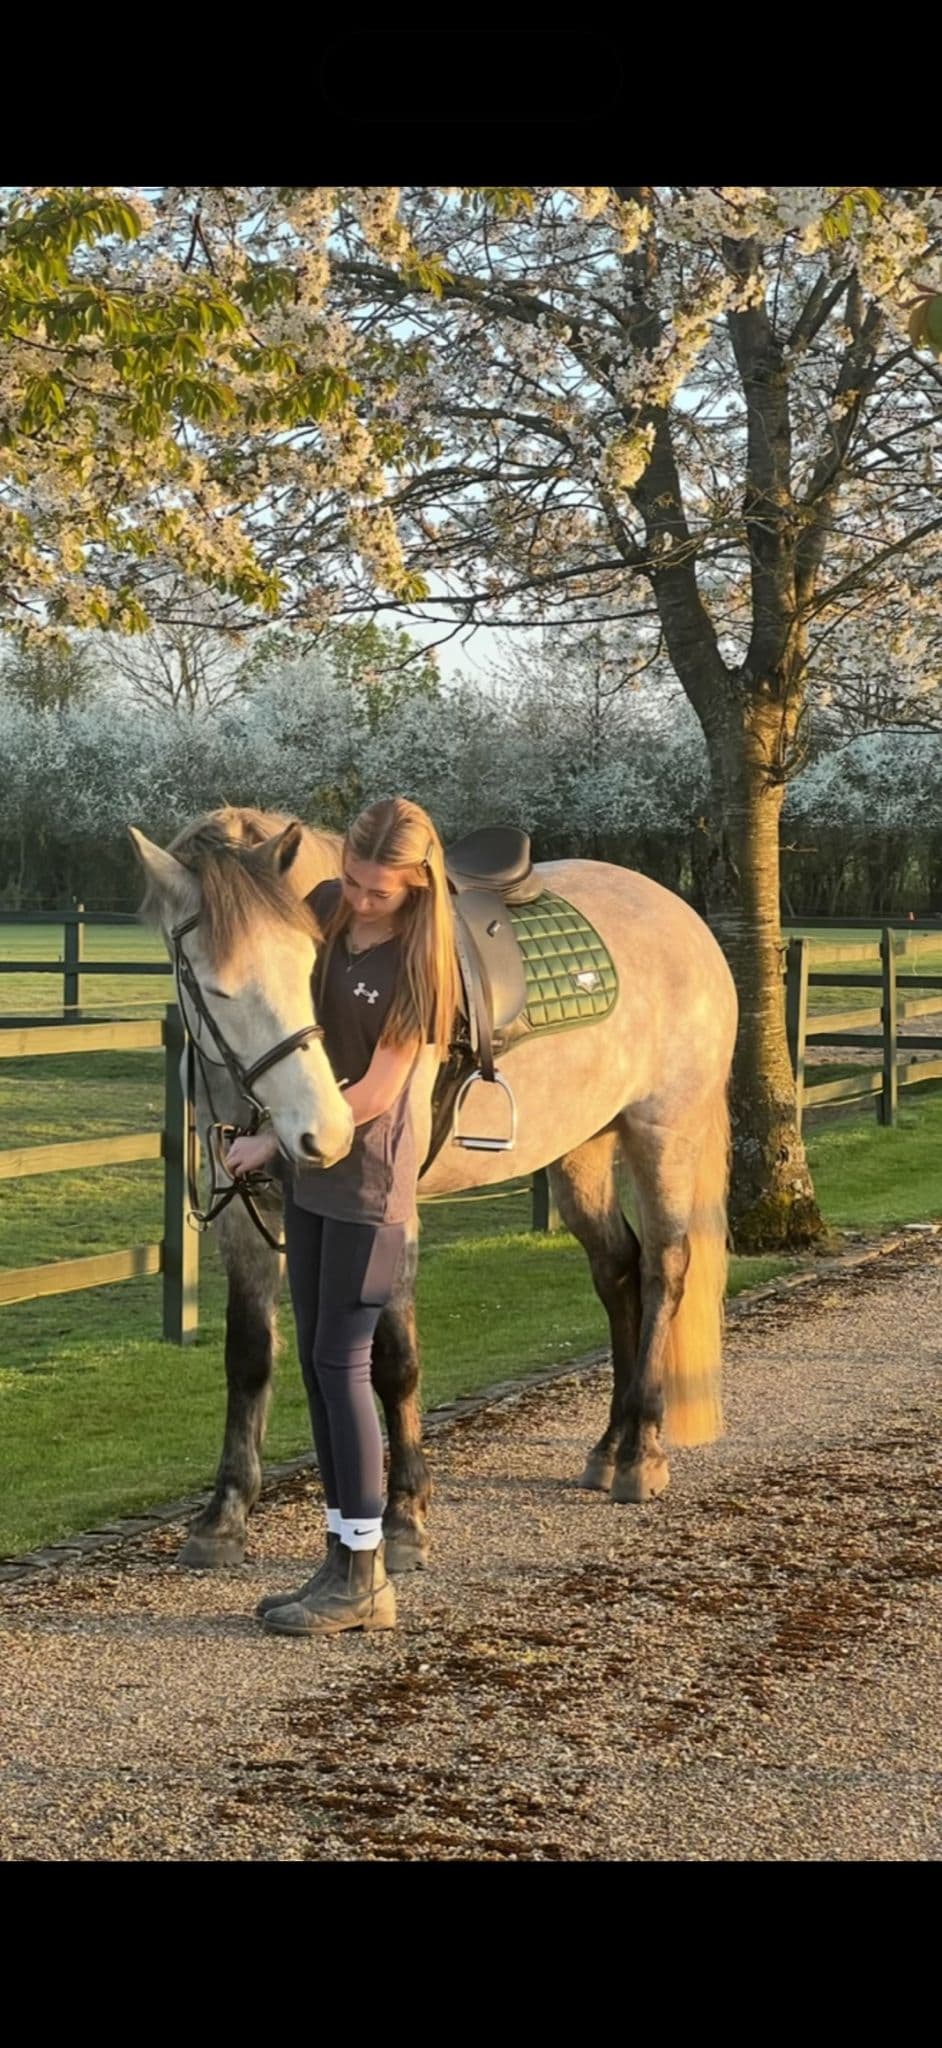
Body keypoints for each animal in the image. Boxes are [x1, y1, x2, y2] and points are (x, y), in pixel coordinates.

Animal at [129, 805, 738, 1572]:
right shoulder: (247, 1212)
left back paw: (643, 1452)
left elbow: (393, 1361)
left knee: (663, 1271)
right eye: (214, 986)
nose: (323, 1131)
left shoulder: (388, 1215)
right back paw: (610, 1445)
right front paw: (225, 1515)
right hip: (581, 1152)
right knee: (617, 1271)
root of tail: (679, 915)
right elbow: (249, 1357)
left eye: (306, 966)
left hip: (663, 1135)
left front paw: (403, 1514)